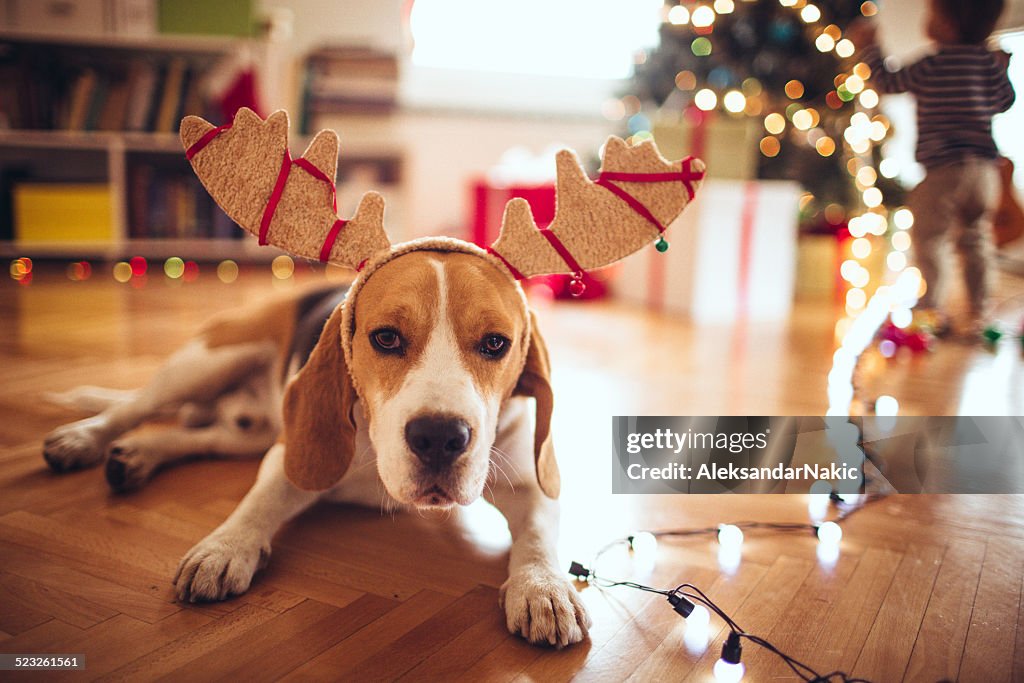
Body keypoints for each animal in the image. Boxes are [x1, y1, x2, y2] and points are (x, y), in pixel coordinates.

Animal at [44, 239, 593, 647]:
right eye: (386, 338)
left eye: (496, 343)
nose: (439, 437)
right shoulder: (291, 455)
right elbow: (260, 500)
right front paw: (225, 546)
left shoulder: (530, 484)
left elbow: (536, 536)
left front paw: (543, 588)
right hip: (208, 361)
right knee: (135, 406)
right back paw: (83, 439)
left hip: (248, 430)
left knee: (198, 435)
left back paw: (138, 455)